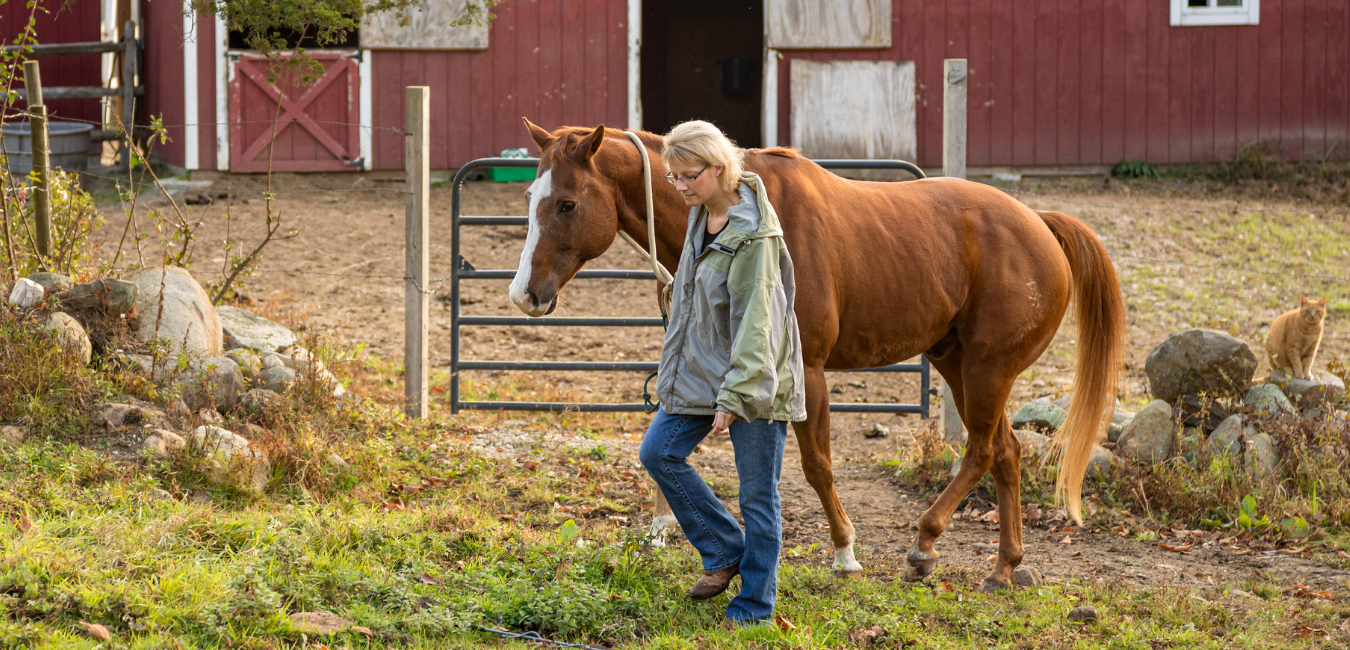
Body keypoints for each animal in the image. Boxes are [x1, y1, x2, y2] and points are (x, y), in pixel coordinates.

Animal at [510, 118, 1123, 589]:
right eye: (531, 199)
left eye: (566, 204)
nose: (524, 295)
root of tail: (1040, 224)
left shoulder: (806, 372)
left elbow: (817, 465)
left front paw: (845, 553)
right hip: (958, 363)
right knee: (1006, 452)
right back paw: (1004, 567)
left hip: (986, 369)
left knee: (983, 450)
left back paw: (926, 545)